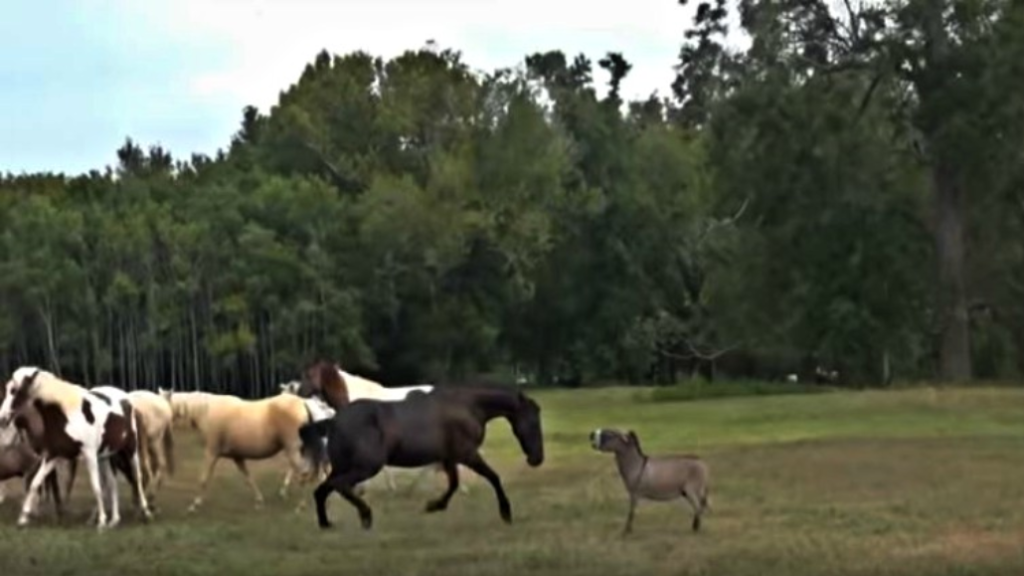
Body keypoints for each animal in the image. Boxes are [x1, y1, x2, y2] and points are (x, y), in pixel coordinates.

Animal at [0, 364, 151, 528]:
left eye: (14, 390)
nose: (2, 419)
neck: (66, 415)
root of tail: (127, 398)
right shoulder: (52, 456)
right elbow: (35, 483)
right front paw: (23, 518)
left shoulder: (89, 455)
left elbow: (95, 487)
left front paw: (101, 521)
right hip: (106, 455)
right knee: (112, 483)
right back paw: (114, 520)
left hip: (130, 449)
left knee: (137, 477)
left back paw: (145, 512)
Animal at [155, 385, 313, 510]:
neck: (206, 412)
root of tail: (303, 404)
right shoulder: (237, 456)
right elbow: (248, 478)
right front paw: (259, 500)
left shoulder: (211, 453)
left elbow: (204, 478)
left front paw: (195, 504)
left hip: (292, 449)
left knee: (303, 473)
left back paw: (300, 504)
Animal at [299, 379, 544, 528]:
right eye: (533, 423)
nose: (537, 459)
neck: (468, 407)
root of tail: (334, 420)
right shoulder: (467, 454)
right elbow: (493, 477)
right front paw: (506, 513)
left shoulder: (449, 458)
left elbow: (454, 484)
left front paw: (434, 505)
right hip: (366, 466)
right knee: (339, 486)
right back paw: (366, 516)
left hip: (344, 466)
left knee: (321, 491)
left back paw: (326, 524)